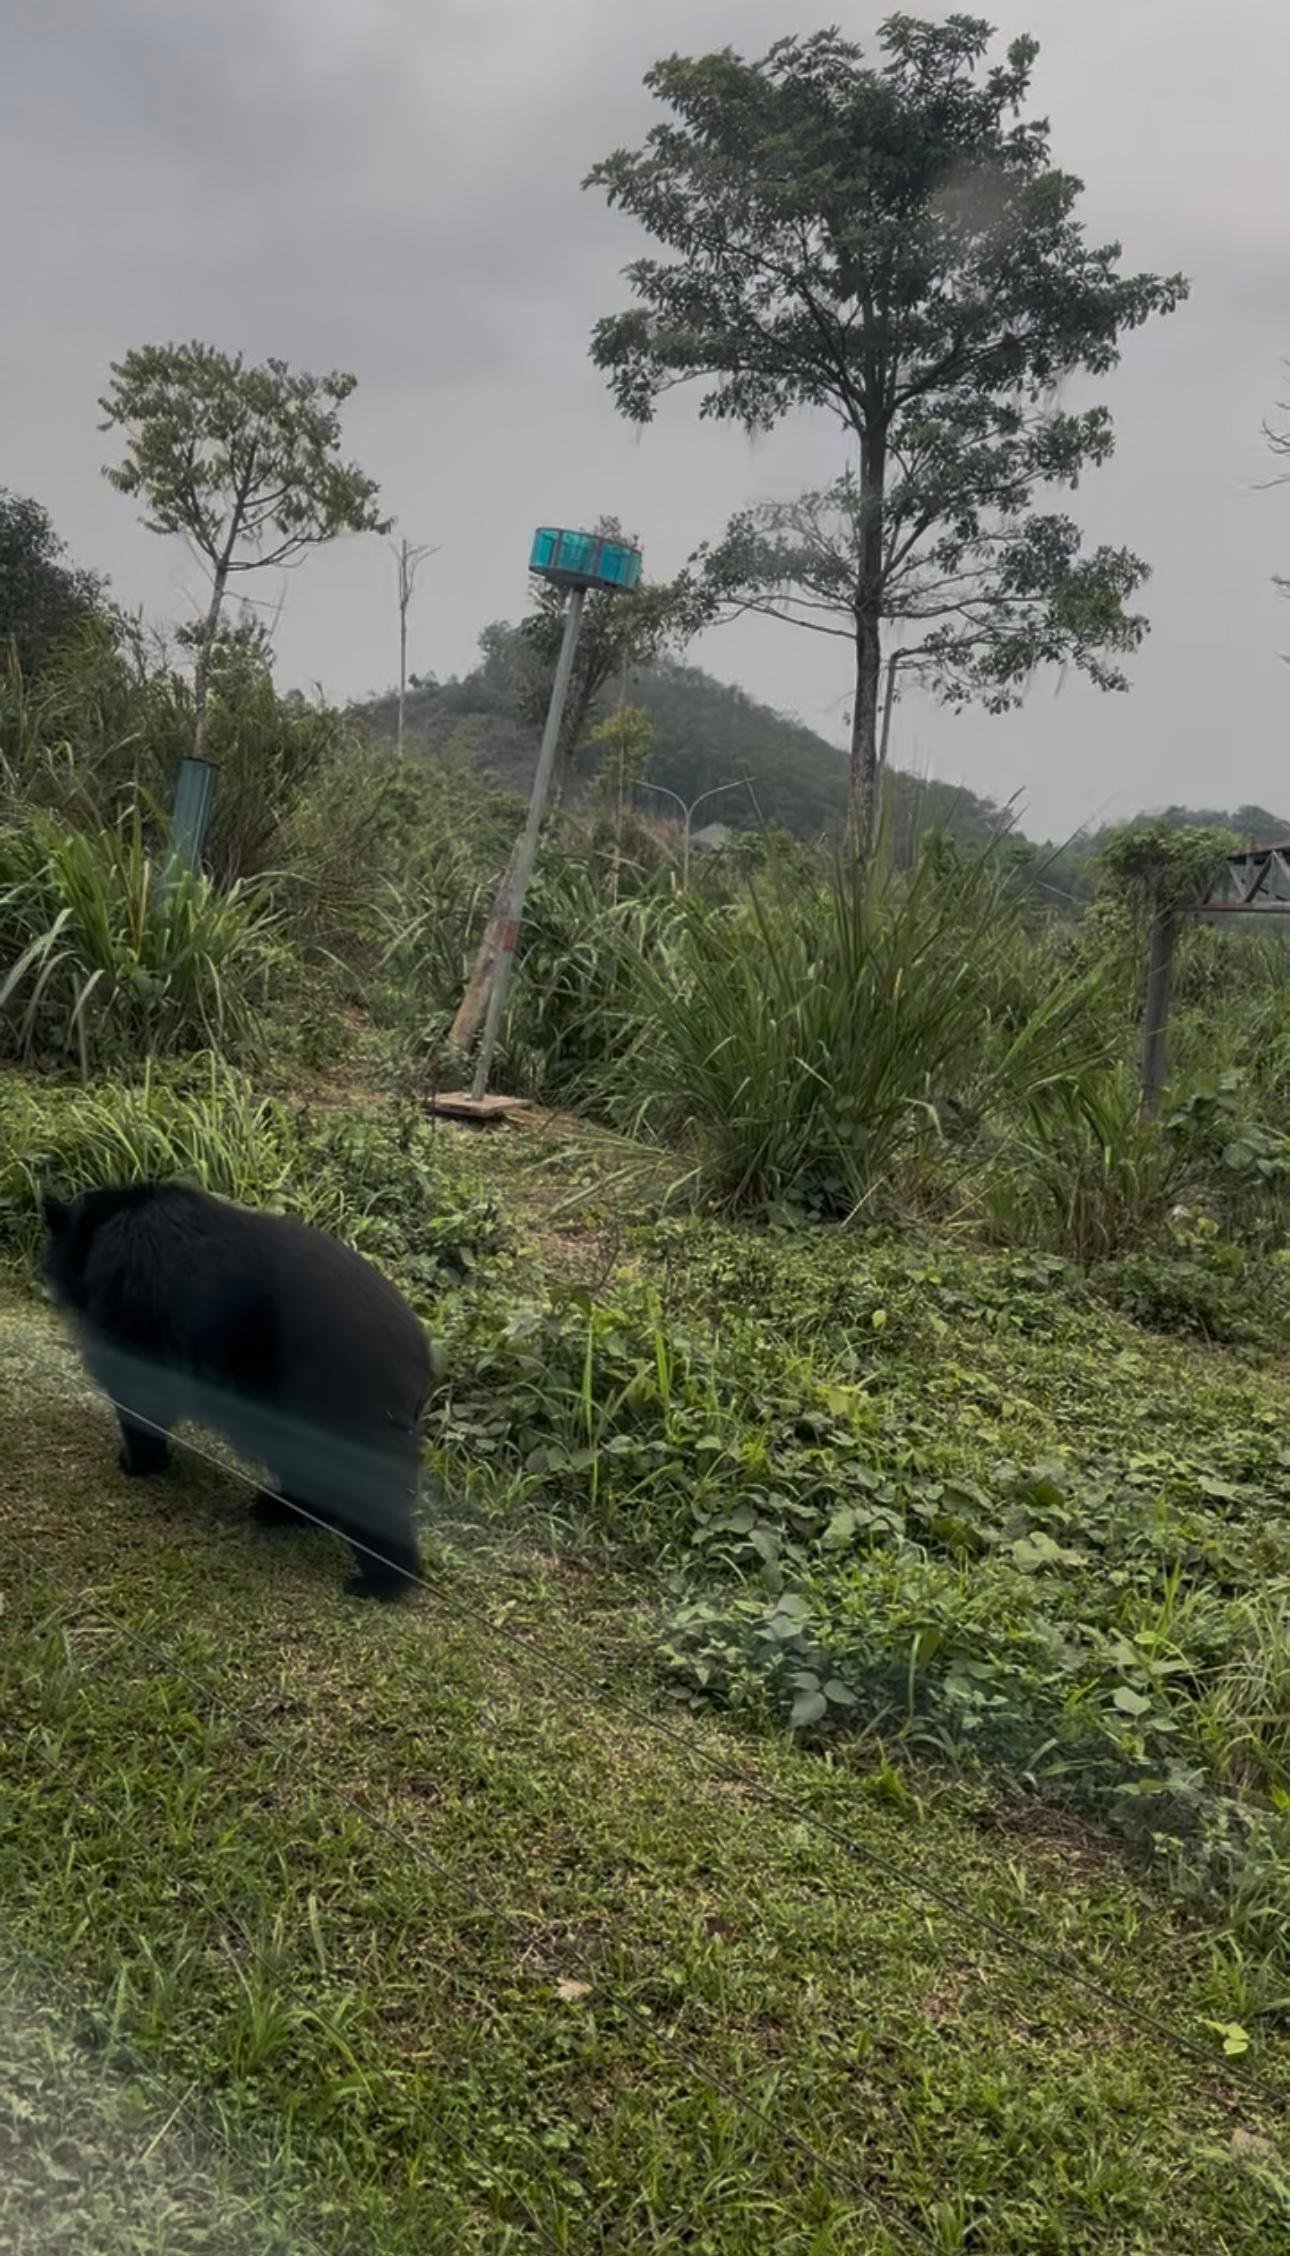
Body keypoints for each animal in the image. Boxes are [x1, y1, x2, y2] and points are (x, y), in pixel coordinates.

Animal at [41, 1180, 431, 1601]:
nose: (47, 1283)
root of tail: (421, 1356)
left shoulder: (134, 1308)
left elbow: (139, 1393)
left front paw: (136, 1462)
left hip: (336, 1401)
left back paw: (380, 1580)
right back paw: (279, 1509)